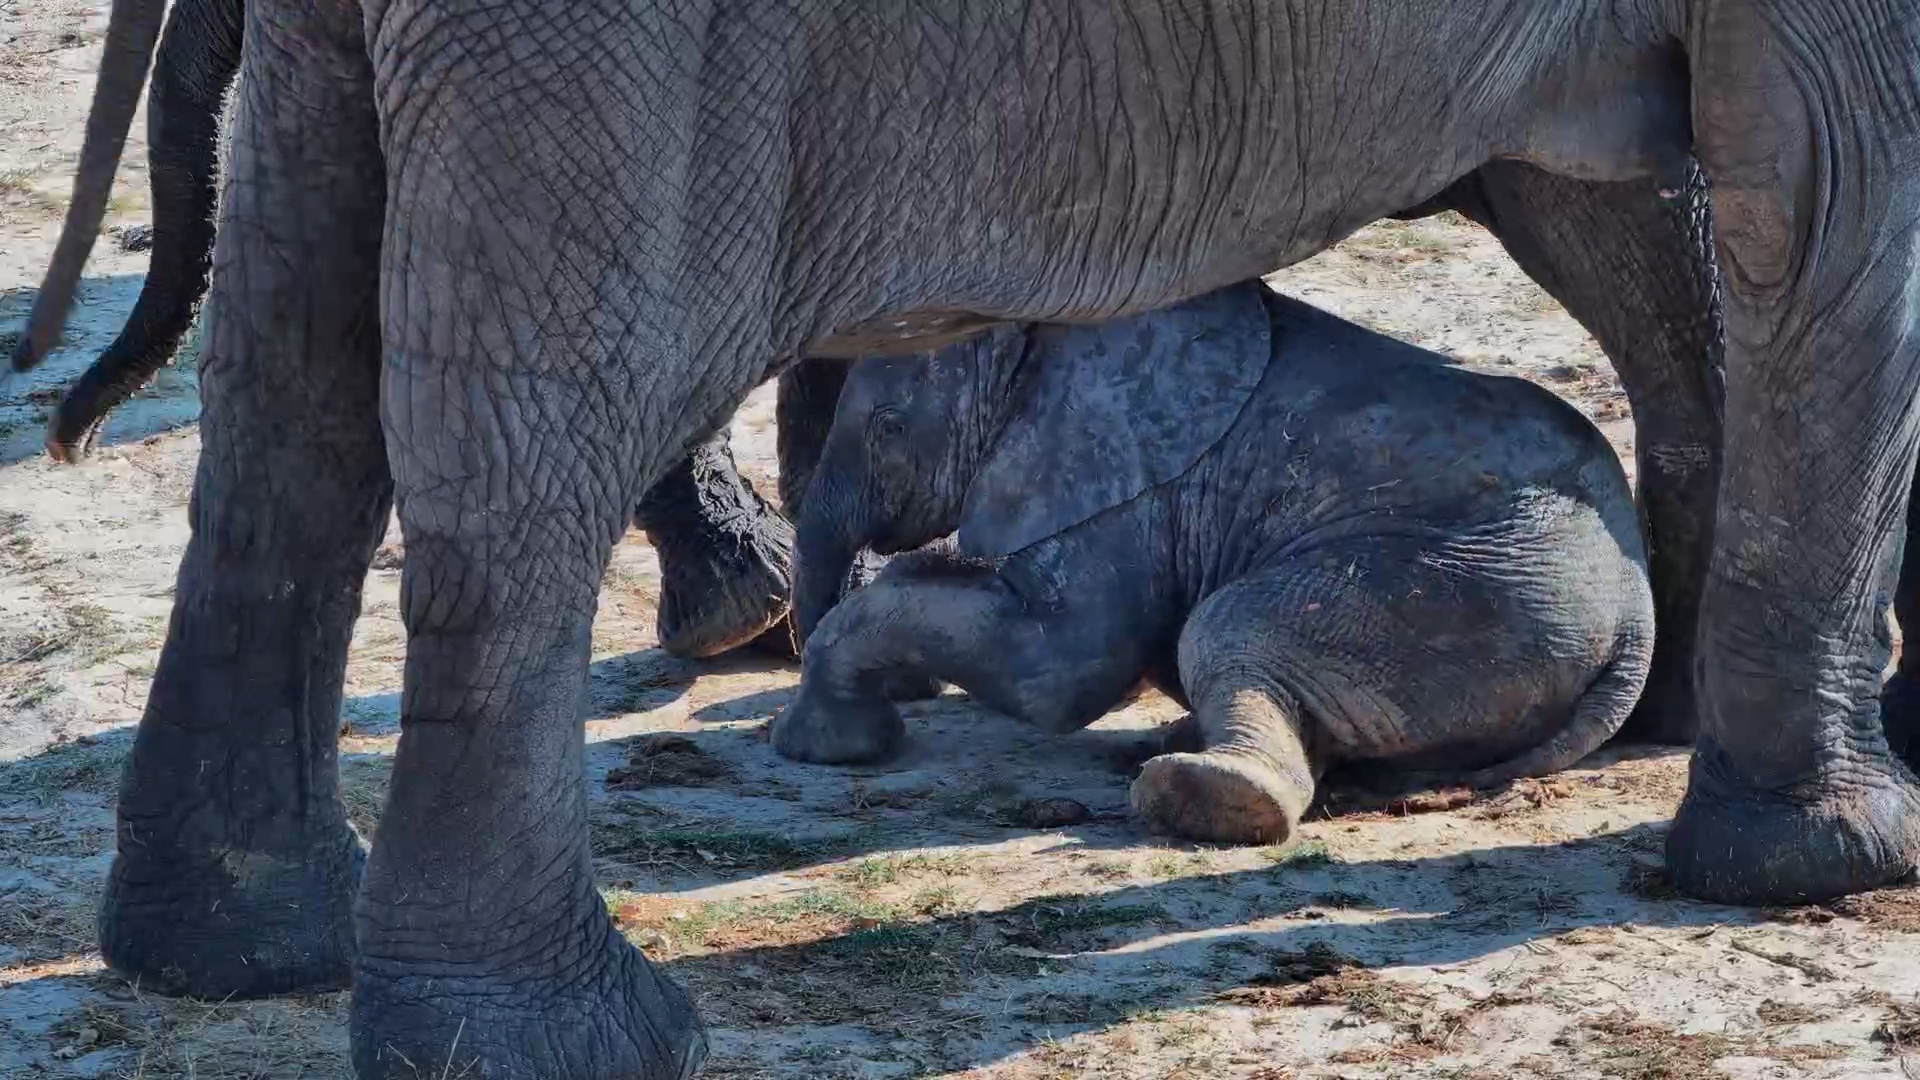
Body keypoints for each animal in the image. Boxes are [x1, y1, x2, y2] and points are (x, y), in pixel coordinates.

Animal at [776, 280, 1656, 844]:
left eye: (889, 429)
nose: (908, 698)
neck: (1048, 333)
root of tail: (1638, 625)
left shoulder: (1133, 482)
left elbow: (1062, 668)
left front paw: (825, 746)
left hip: (1469, 590)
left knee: (1225, 622)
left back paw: (1192, 793)